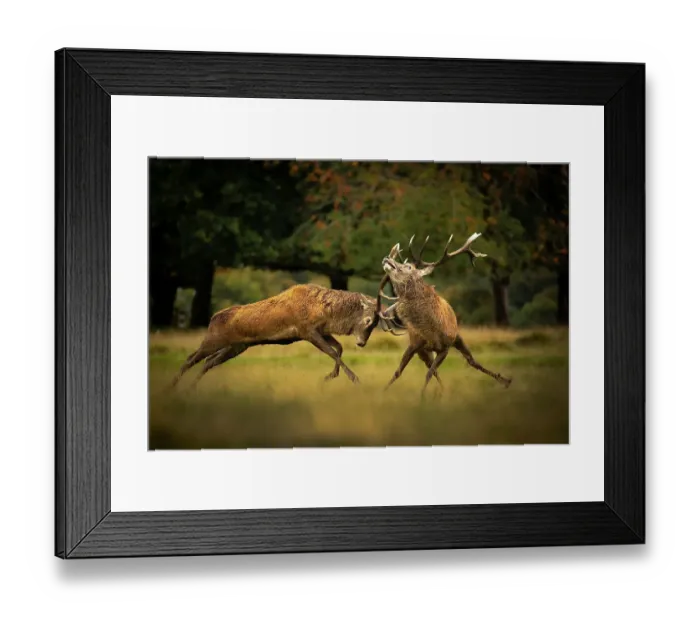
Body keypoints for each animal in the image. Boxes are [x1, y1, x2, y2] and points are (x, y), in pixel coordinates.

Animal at [171, 283, 388, 388]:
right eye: (369, 320)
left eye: (376, 324)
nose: (361, 343)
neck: (326, 313)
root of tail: (212, 319)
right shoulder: (307, 331)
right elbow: (333, 352)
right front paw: (353, 378)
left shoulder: (321, 331)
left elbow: (339, 348)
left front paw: (331, 375)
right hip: (214, 339)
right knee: (191, 358)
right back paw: (171, 387)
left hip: (235, 347)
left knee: (209, 361)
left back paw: (190, 388)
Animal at [377, 233, 512, 396]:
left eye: (408, 267)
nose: (387, 258)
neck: (431, 331)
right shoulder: (415, 344)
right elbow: (398, 371)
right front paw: (383, 391)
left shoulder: (445, 347)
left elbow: (429, 373)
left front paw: (422, 397)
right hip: (424, 351)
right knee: (434, 368)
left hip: (456, 337)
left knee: (471, 361)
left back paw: (505, 380)